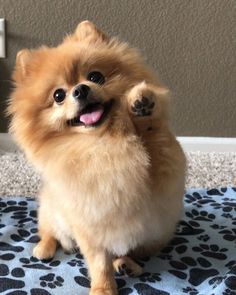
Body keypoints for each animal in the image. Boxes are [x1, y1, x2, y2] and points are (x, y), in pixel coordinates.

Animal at [8, 20, 186, 295]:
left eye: (95, 77)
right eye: (58, 95)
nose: (81, 90)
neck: (103, 142)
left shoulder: (168, 168)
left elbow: (154, 140)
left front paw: (141, 105)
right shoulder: (89, 226)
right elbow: (99, 262)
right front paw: (103, 288)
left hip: (157, 234)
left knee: (132, 250)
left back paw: (127, 264)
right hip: (52, 209)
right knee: (49, 231)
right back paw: (44, 248)